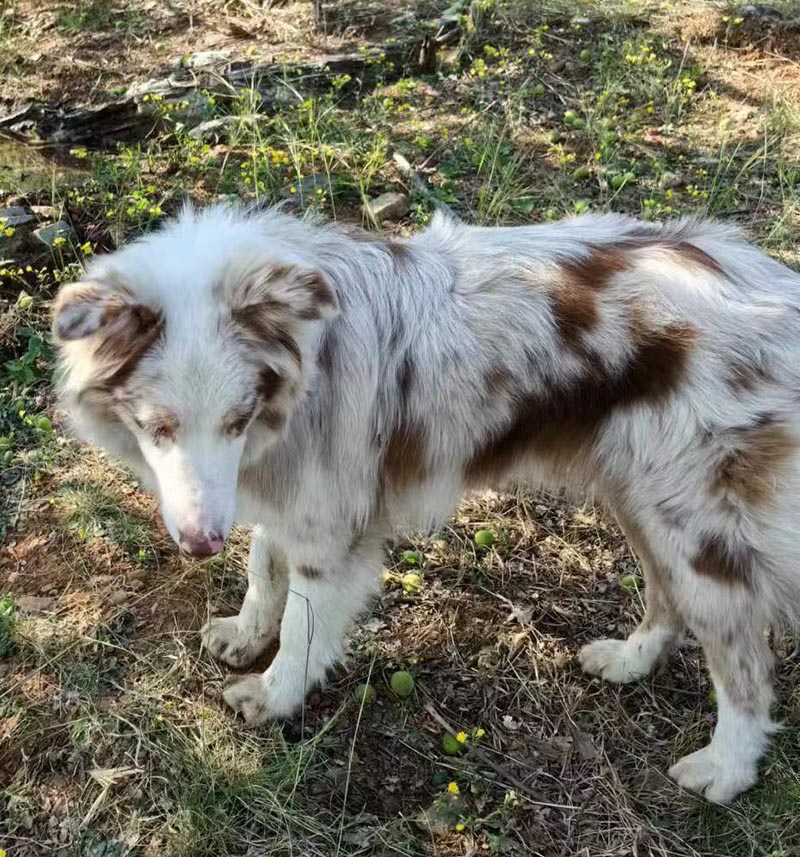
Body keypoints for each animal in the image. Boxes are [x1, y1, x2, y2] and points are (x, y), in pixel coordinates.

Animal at [53, 202, 800, 804]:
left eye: (237, 418)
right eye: (158, 427)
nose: (201, 541)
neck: (303, 367)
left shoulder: (329, 521)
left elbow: (302, 626)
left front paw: (273, 695)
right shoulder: (280, 489)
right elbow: (264, 567)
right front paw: (244, 633)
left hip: (698, 527)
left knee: (744, 665)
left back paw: (725, 770)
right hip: (638, 494)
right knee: (665, 596)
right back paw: (629, 660)